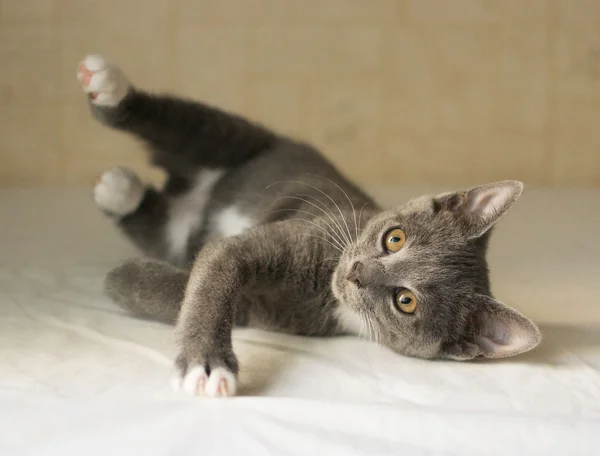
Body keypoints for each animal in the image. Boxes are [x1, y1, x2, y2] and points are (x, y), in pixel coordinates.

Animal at [77, 55, 540, 398]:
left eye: (405, 301)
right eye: (395, 238)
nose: (356, 273)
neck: (326, 283)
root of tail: (189, 188)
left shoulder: (268, 311)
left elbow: (196, 290)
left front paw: (128, 279)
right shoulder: (289, 234)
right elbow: (217, 272)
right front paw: (204, 365)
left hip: (180, 229)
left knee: (163, 223)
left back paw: (119, 190)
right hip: (240, 141)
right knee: (184, 123)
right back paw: (109, 88)